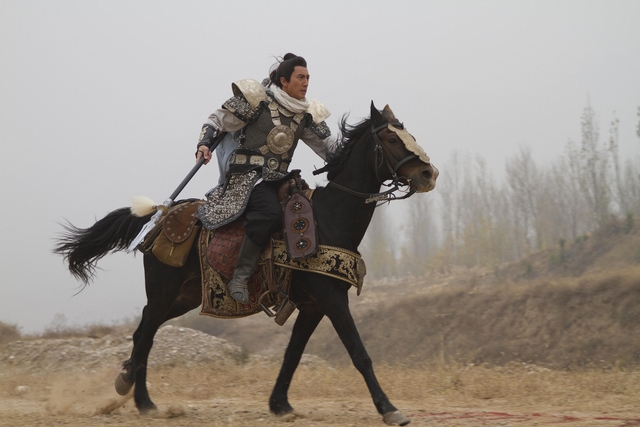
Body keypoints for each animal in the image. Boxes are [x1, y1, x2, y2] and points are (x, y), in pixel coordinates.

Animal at [54, 102, 438, 426]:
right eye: (392, 138)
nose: (428, 174)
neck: (329, 217)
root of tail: (163, 214)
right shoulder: (331, 299)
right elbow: (359, 353)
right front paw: (389, 409)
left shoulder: (313, 306)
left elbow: (293, 354)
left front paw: (279, 404)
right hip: (164, 291)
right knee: (145, 335)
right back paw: (141, 398)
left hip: (184, 297)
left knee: (143, 333)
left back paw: (131, 387)